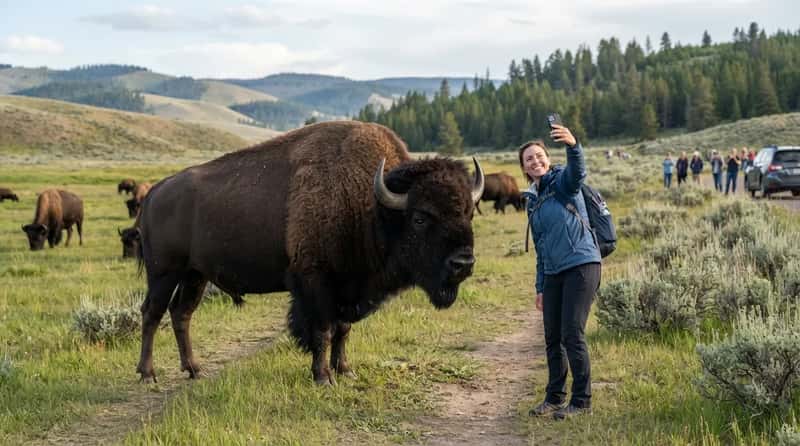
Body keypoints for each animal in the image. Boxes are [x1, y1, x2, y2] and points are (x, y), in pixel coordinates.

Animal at [136, 121, 484, 385]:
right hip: (164, 273)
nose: (463, 263)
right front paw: (322, 377)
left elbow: (343, 330)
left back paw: (194, 369)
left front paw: (346, 371)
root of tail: (155, 192)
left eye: (468, 213)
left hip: (195, 275)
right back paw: (148, 374)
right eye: (421, 217)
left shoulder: (347, 288)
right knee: (152, 313)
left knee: (181, 314)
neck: (371, 207)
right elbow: (323, 330)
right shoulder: (316, 282)